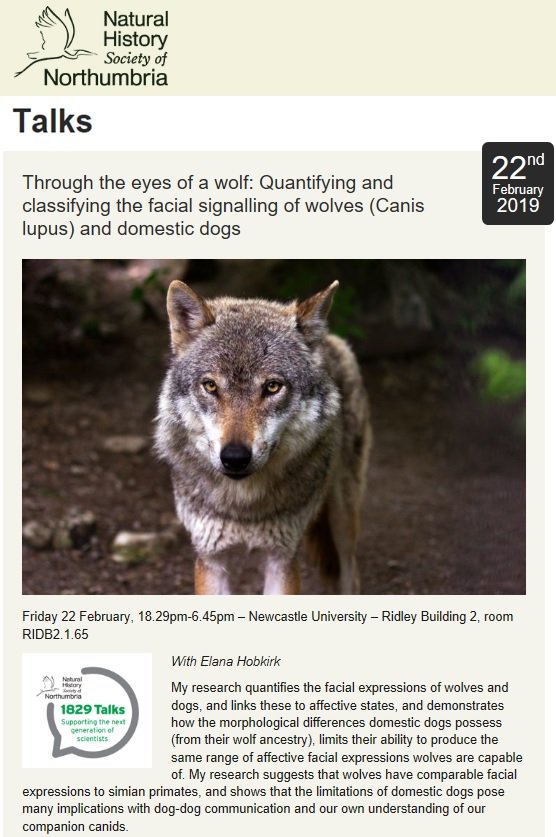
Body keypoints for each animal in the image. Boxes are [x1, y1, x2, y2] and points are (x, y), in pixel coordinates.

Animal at [155, 279, 371, 595]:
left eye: (272, 387)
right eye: (210, 386)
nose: (234, 458)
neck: (244, 507)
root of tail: (329, 339)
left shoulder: (282, 559)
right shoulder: (210, 559)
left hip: (344, 517)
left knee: (351, 575)